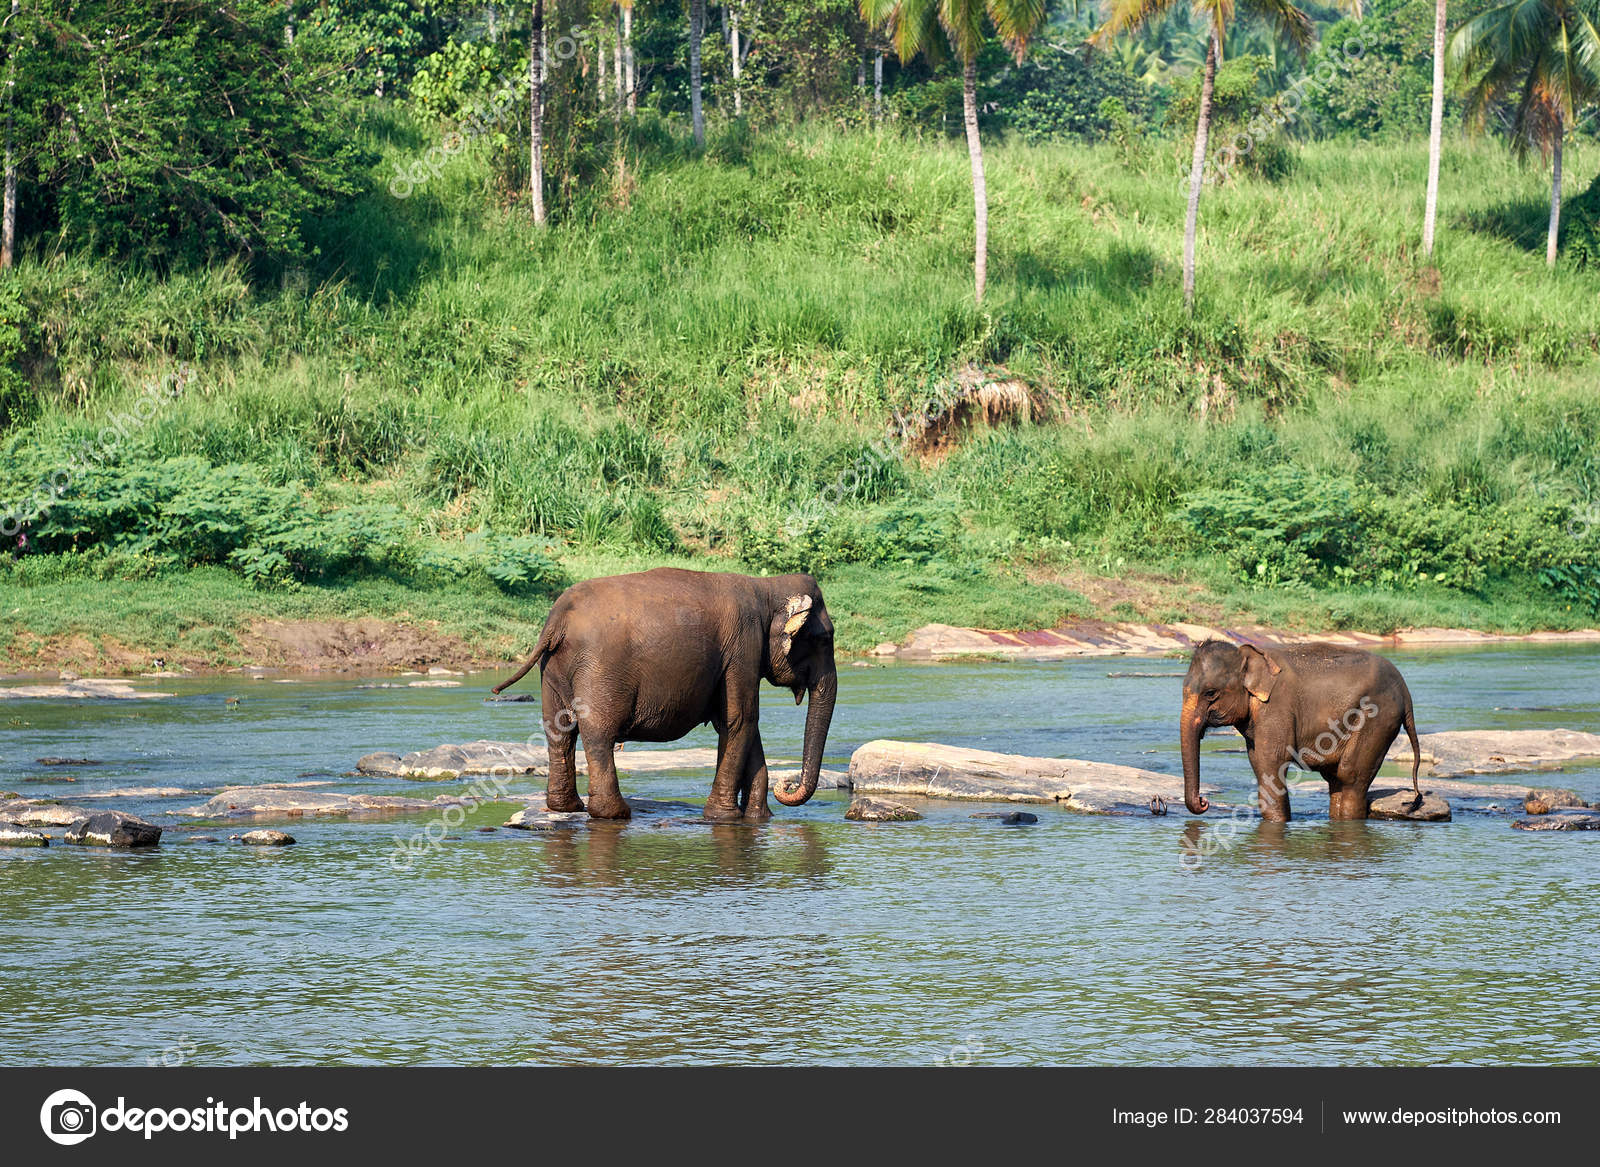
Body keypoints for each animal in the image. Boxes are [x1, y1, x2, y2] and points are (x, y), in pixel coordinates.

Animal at [492, 568, 837, 822]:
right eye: (824, 639)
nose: (787, 784)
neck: (766, 588)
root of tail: (558, 617)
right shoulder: (743, 648)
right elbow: (741, 719)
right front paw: (723, 818)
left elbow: (739, 724)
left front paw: (758, 819)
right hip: (600, 669)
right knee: (598, 732)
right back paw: (614, 813)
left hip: (552, 669)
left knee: (559, 731)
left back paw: (567, 809)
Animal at [1179, 639, 1422, 822]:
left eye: (1210, 693)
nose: (1203, 802)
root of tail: (1406, 691)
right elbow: (1257, 762)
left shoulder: (1277, 707)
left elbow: (1271, 762)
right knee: (1336, 779)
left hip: (1377, 718)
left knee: (1350, 775)